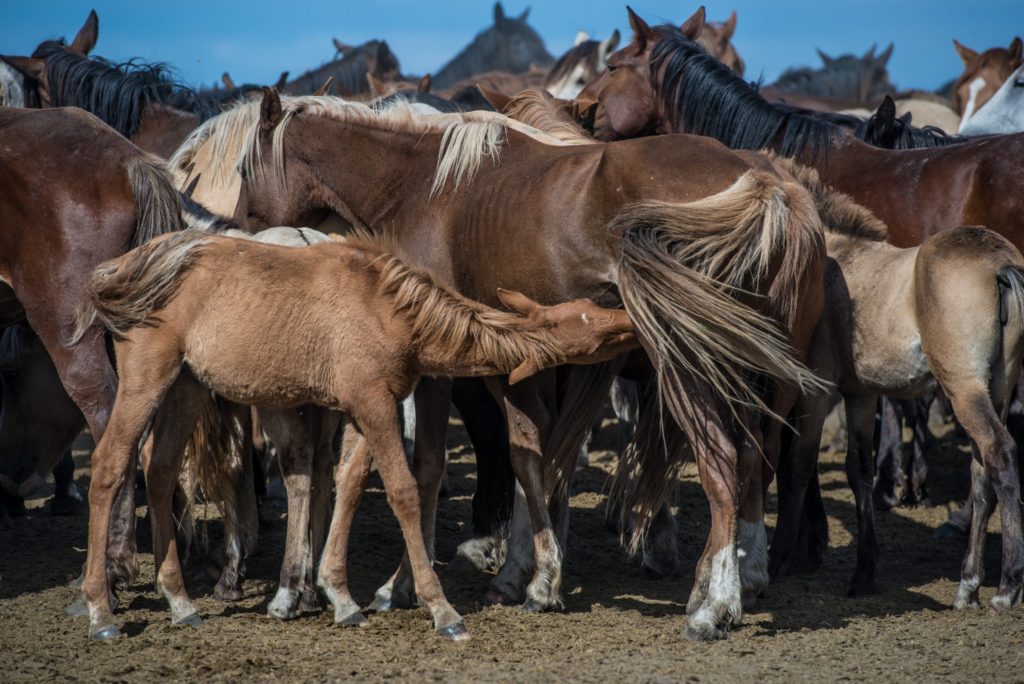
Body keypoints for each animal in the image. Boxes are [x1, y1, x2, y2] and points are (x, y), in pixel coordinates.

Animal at [72, 231, 634, 643]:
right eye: (594, 328)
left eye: (588, 310)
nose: (629, 315)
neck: (396, 313)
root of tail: (121, 269)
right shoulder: (373, 403)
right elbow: (404, 492)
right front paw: (440, 608)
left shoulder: (366, 407)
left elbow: (347, 485)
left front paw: (339, 596)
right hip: (146, 378)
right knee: (110, 464)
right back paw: (100, 610)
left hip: (188, 385)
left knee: (161, 470)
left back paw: (180, 600)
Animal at [176, 88, 827, 638]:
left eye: (242, 171)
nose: (239, 236)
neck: (417, 185)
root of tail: (764, 184)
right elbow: (528, 455)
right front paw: (529, 577)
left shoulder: (437, 365)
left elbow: (431, 467)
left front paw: (406, 587)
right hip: (740, 370)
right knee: (750, 459)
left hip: (687, 366)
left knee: (721, 463)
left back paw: (715, 605)